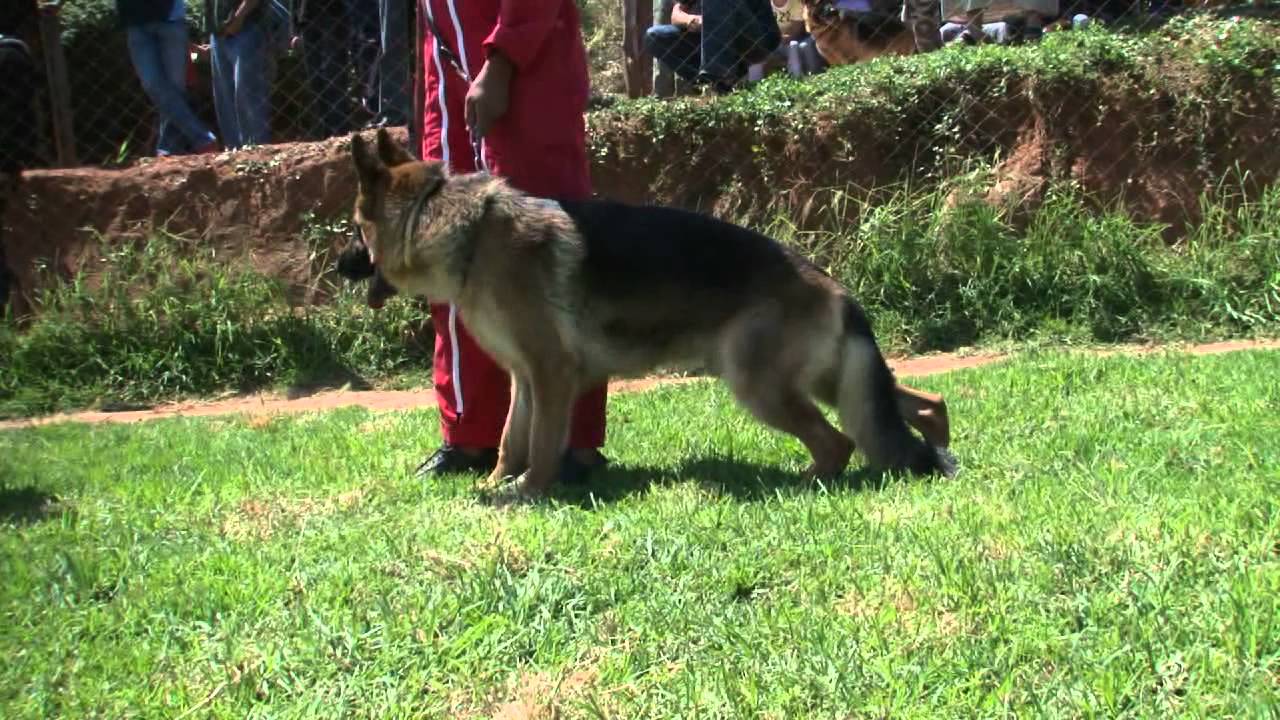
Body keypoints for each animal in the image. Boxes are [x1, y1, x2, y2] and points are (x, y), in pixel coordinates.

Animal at [335, 128, 957, 499]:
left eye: (356, 229)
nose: (340, 266)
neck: (456, 226)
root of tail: (837, 288)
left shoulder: (553, 374)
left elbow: (541, 443)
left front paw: (528, 494)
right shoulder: (525, 377)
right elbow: (512, 438)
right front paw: (494, 483)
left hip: (760, 385)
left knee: (839, 443)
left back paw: (799, 482)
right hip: (830, 380)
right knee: (917, 404)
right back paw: (935, 448)